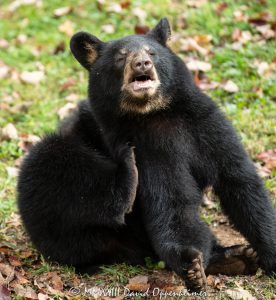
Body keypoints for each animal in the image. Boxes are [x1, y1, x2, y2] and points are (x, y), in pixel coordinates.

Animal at [17, 17, 274, 290]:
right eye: (121, 57)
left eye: (152, 52)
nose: (142, 63)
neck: (155, 114)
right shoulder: (147, 146)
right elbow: (170, 200)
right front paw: (191, 265)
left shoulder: (205, 124)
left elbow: (240, 181)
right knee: (51, 167)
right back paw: (127, 175)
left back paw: (238, 258)